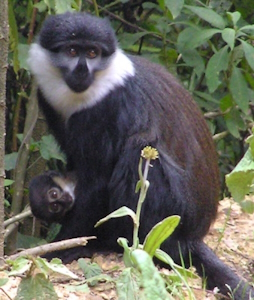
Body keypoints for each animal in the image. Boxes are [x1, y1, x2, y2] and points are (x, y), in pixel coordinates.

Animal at [28, 12, 253, 300]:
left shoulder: (109, 107)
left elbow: (97, 180)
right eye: (72, 51)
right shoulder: (47, 99)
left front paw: (65, 246)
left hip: (174, 215)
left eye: (93, 53)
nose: (82, 70)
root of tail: (192, 237)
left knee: (139, 147)